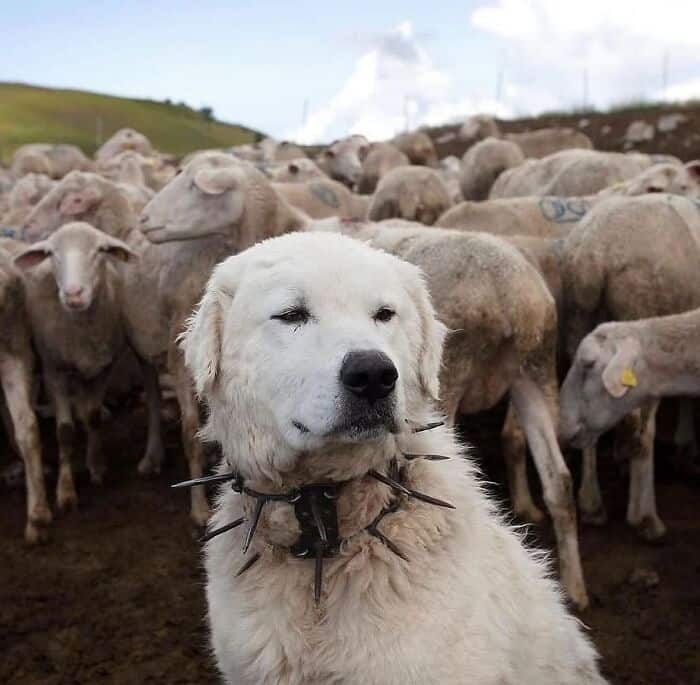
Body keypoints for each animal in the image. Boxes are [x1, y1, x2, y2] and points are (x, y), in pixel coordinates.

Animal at [14, 222, 135, 511]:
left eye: (100, 250)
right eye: (51, 253)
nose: (73, 293)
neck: (82, 329)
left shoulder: (103, 369)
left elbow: (92, 416)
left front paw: (96, 467)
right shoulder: (53, 372)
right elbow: (65, 431)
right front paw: (65, 491)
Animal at [561, 193, 700, 538]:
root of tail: (595, 253)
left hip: (577, 323)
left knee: (590, 426)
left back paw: (592, 503)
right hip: (642, 309)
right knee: (641, 433)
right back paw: (646, 516)